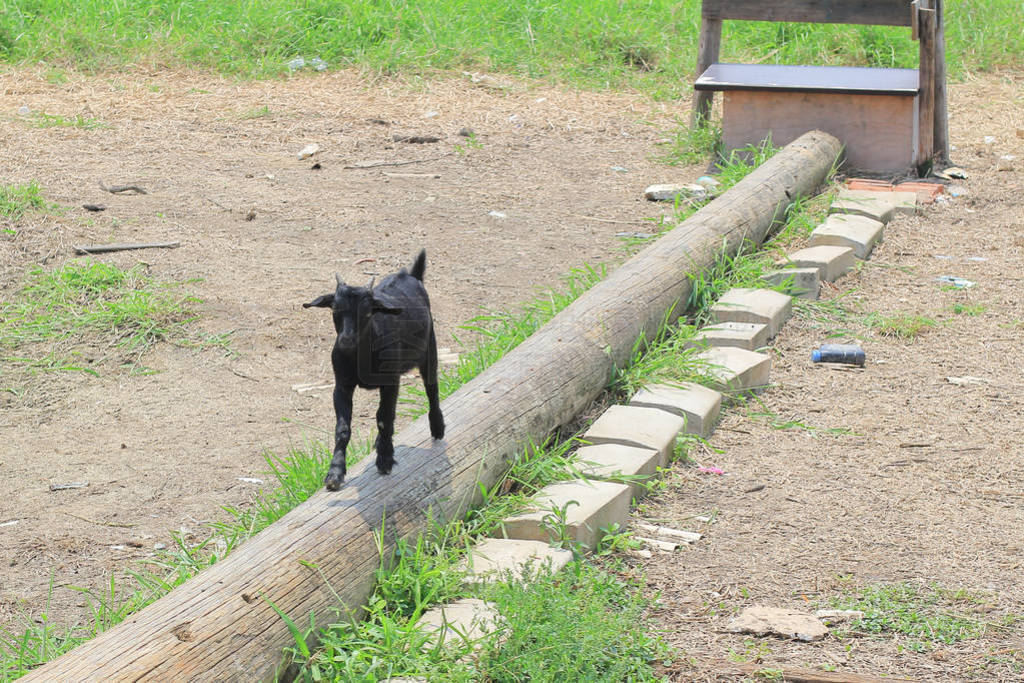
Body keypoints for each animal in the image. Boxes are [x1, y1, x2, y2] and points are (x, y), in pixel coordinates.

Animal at [305, 250, 446, 491]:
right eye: (335, 310)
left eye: (368, 313)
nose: (346, 341)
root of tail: (411, 275)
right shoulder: (341, 385)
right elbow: (342, 429)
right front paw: (335, 473)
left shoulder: (391, 381)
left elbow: (385, 417)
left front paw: (385, 459)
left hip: (430, 349)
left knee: (432, 388)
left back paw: (437, 427)